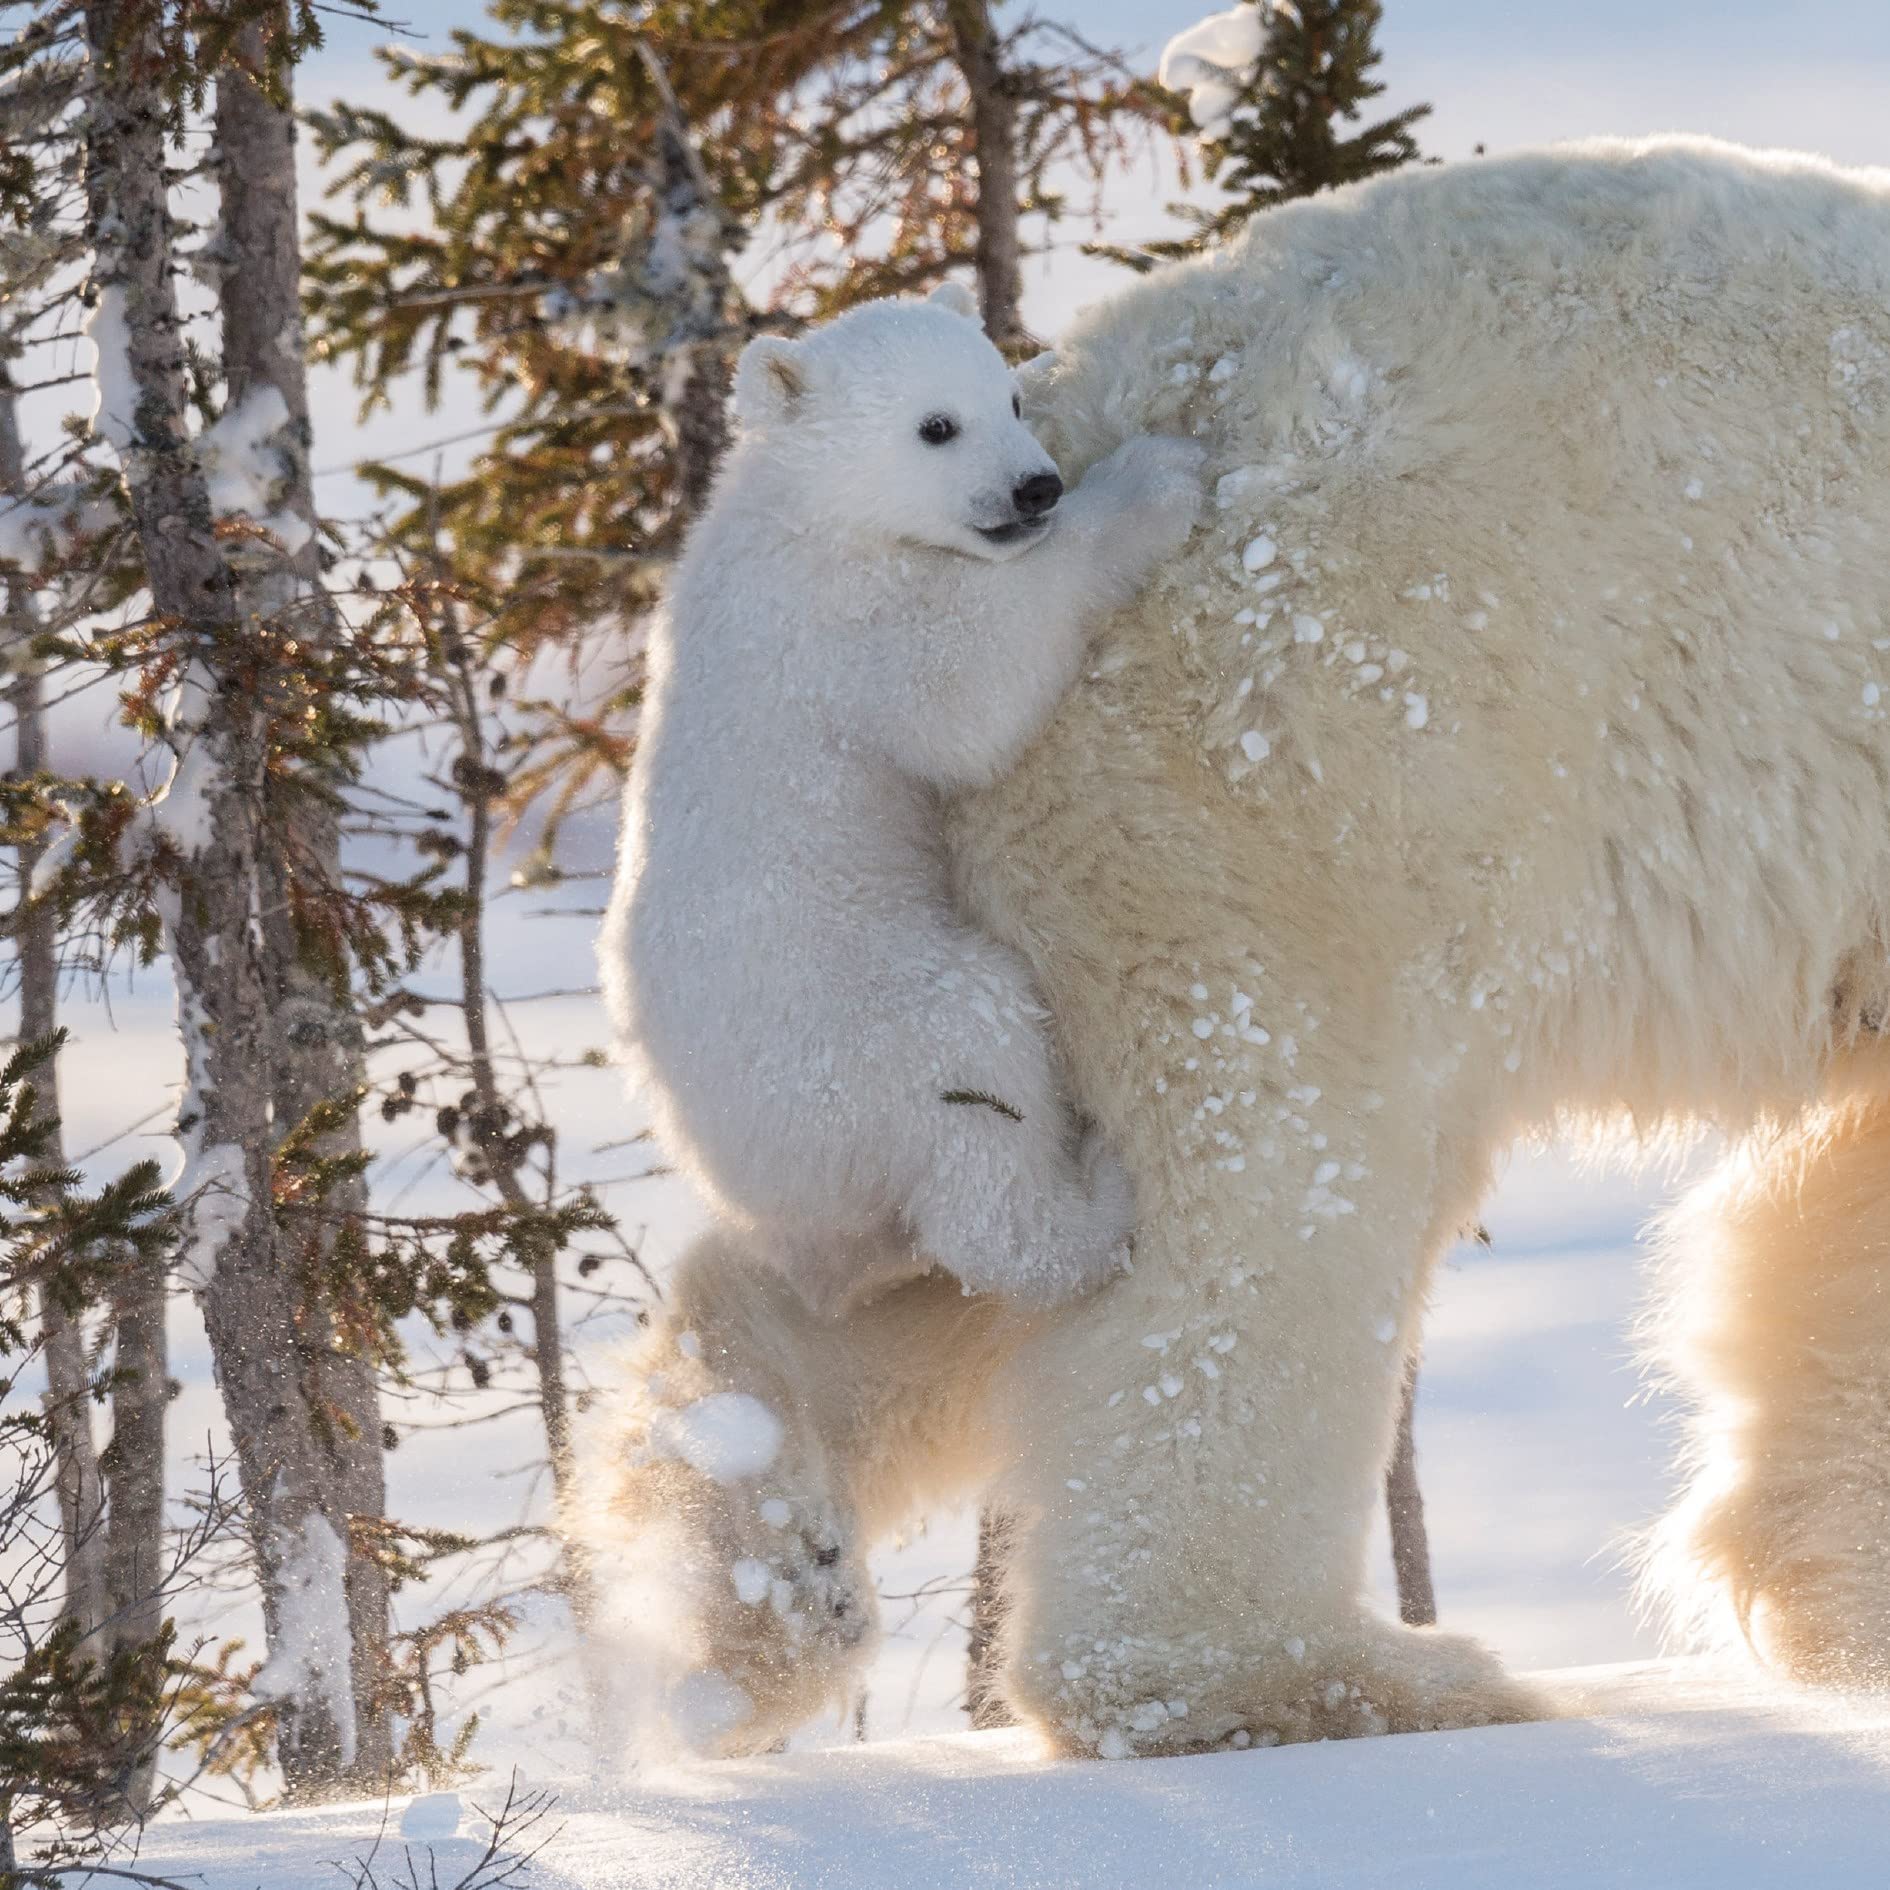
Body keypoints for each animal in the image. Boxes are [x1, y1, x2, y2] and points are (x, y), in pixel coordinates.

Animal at [599, 282, 1205, 1314]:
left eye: (1007, 397)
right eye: (936, 426)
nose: (1036, 489)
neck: (803, 514)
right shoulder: (842, 630)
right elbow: (967, 690)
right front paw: (1154, 477)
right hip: (867, 1033)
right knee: (979, 1084)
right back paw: (1096, 1200)